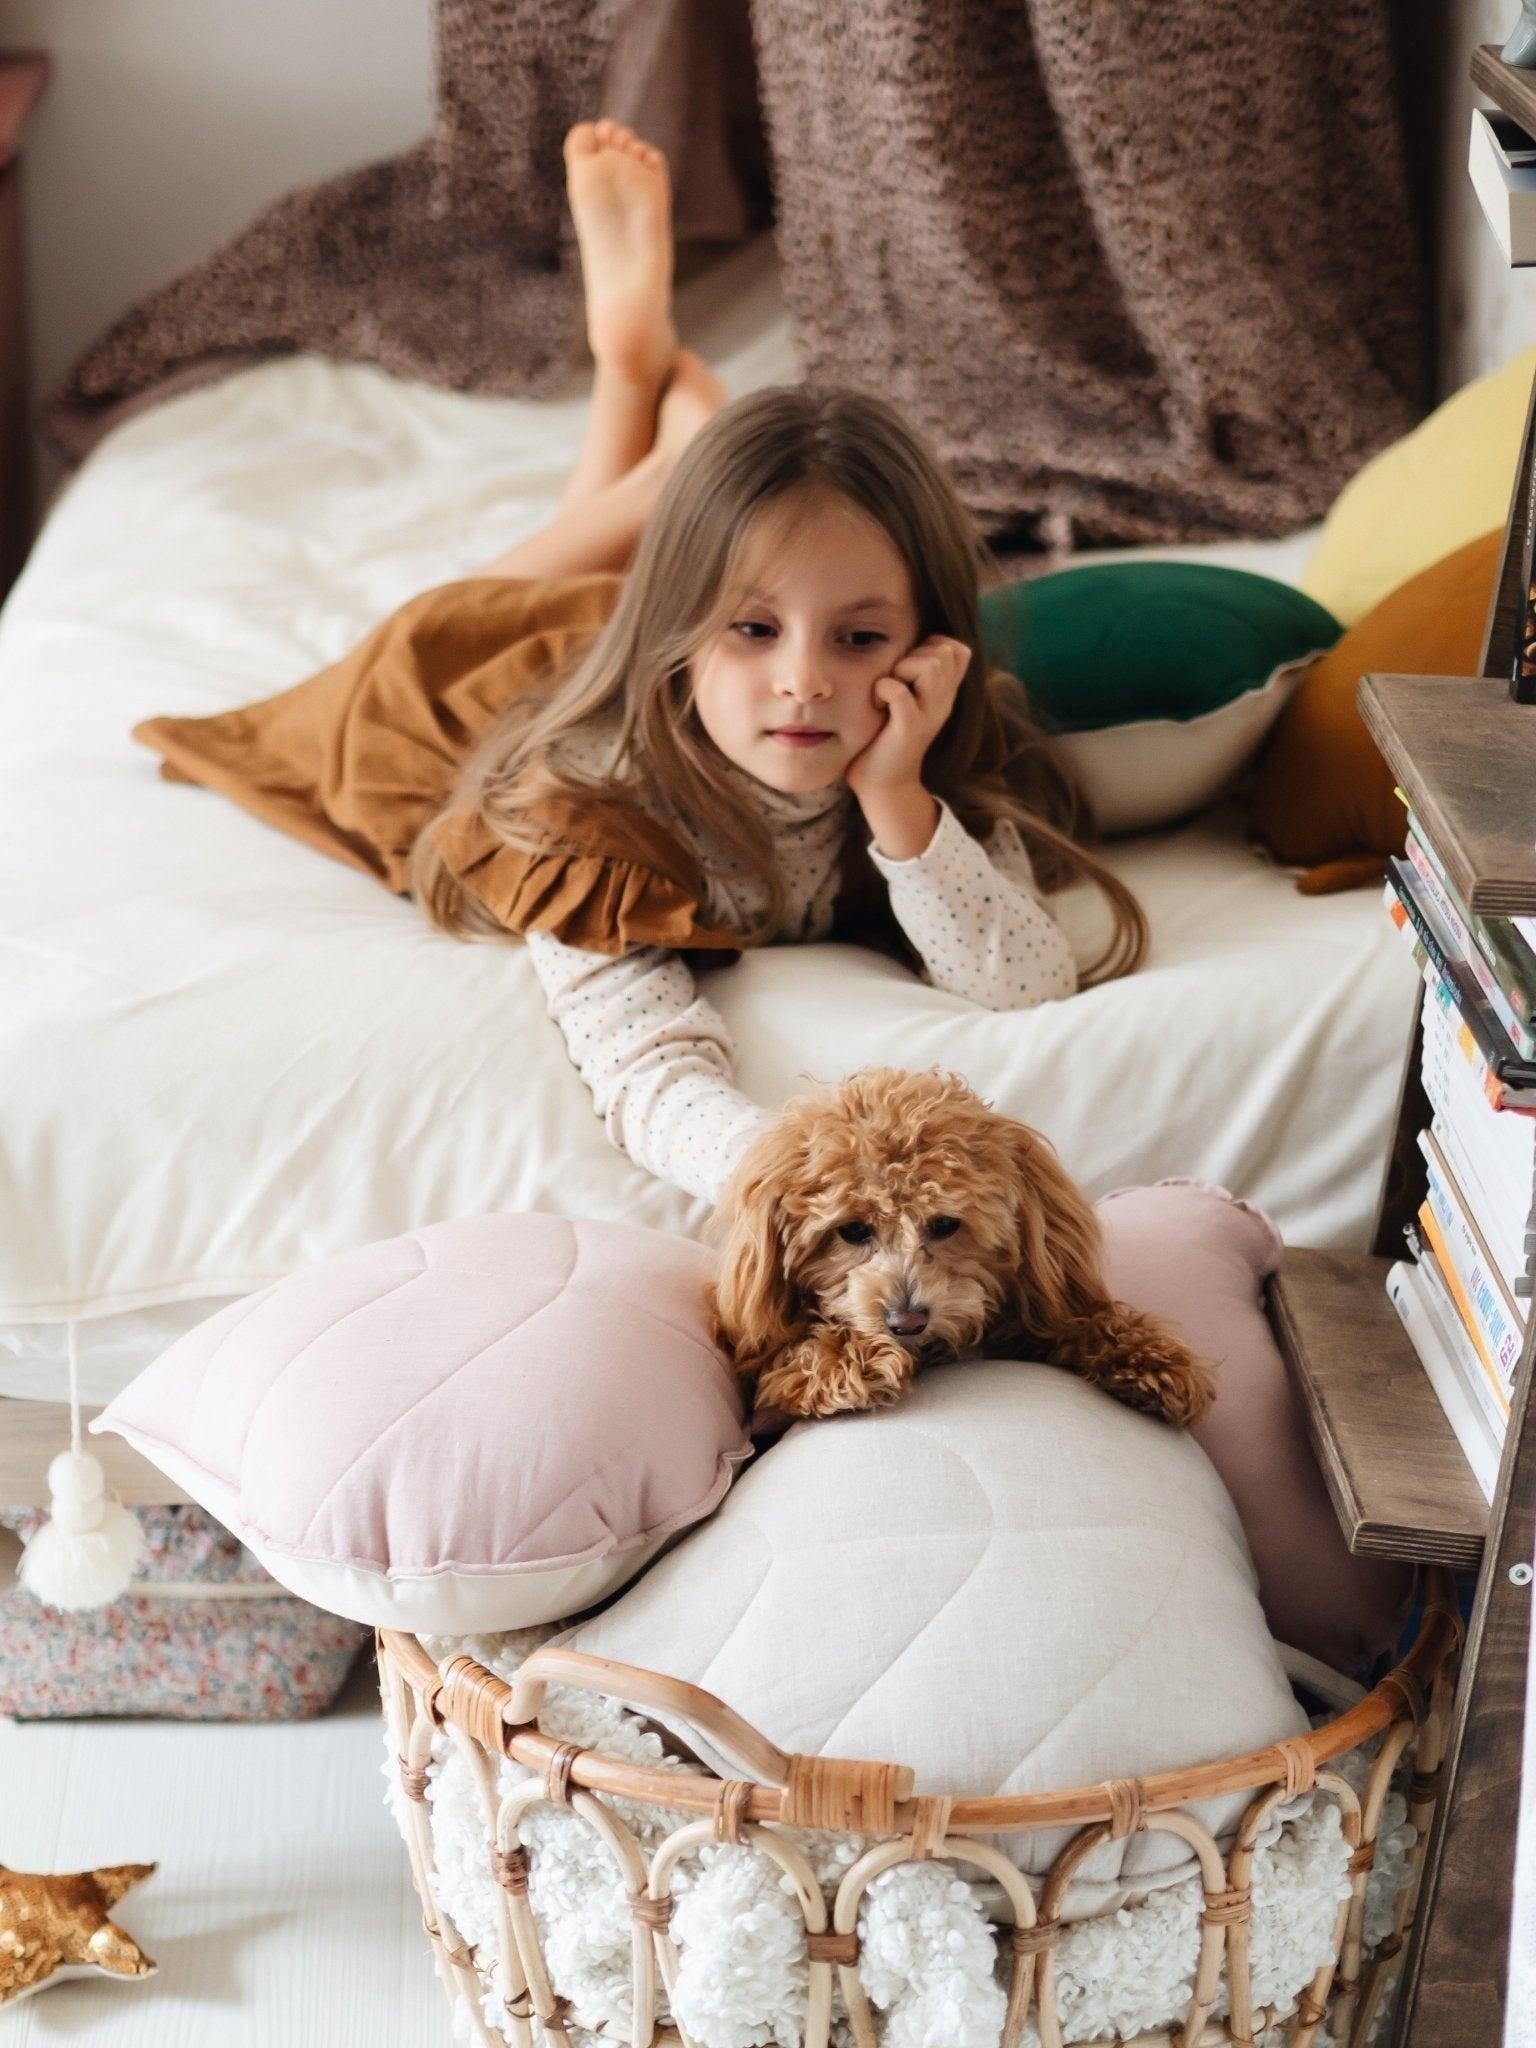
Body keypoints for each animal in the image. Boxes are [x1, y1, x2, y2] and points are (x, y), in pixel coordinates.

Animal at [708, 1064, 1212, 1433]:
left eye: (945, 1224)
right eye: (852, 1230)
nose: (906, 1322)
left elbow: (1077, 1323)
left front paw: (1150, 1359)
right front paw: (846, 1359)